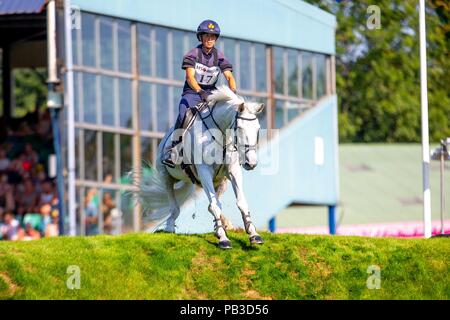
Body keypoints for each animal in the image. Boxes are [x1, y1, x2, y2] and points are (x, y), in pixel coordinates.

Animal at [134, 85, 264, 250]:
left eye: (258, 129)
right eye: (239, 128)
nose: (251, 163)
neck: (220, 134)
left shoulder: (233, 170)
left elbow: (241, 202)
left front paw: (254, 234)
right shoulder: (204, 171)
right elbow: (215, 205)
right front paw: (223, 238)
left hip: (220, 182)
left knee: (212, 203)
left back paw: (227, 224)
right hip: (167, 176)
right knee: (175, 206)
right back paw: (169, 226)